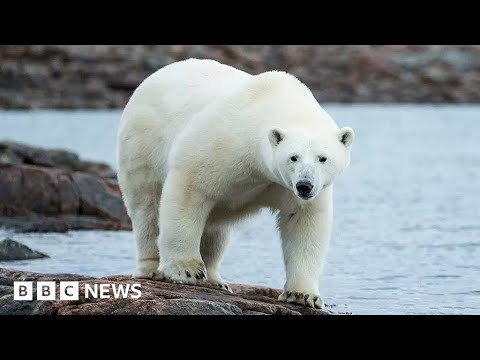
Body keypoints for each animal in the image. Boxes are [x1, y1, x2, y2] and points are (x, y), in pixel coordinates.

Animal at [117, 59, 352, 310]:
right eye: (293, 157)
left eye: (323, 158)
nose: (304, 186)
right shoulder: (223, 141)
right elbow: (189, 189)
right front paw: (186, 270)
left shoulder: (288, 186)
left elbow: (303, 220)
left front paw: (302, 294)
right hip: (143, 142)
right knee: (147, 208)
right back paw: (152, 269)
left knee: (215, 229)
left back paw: (215, 280)